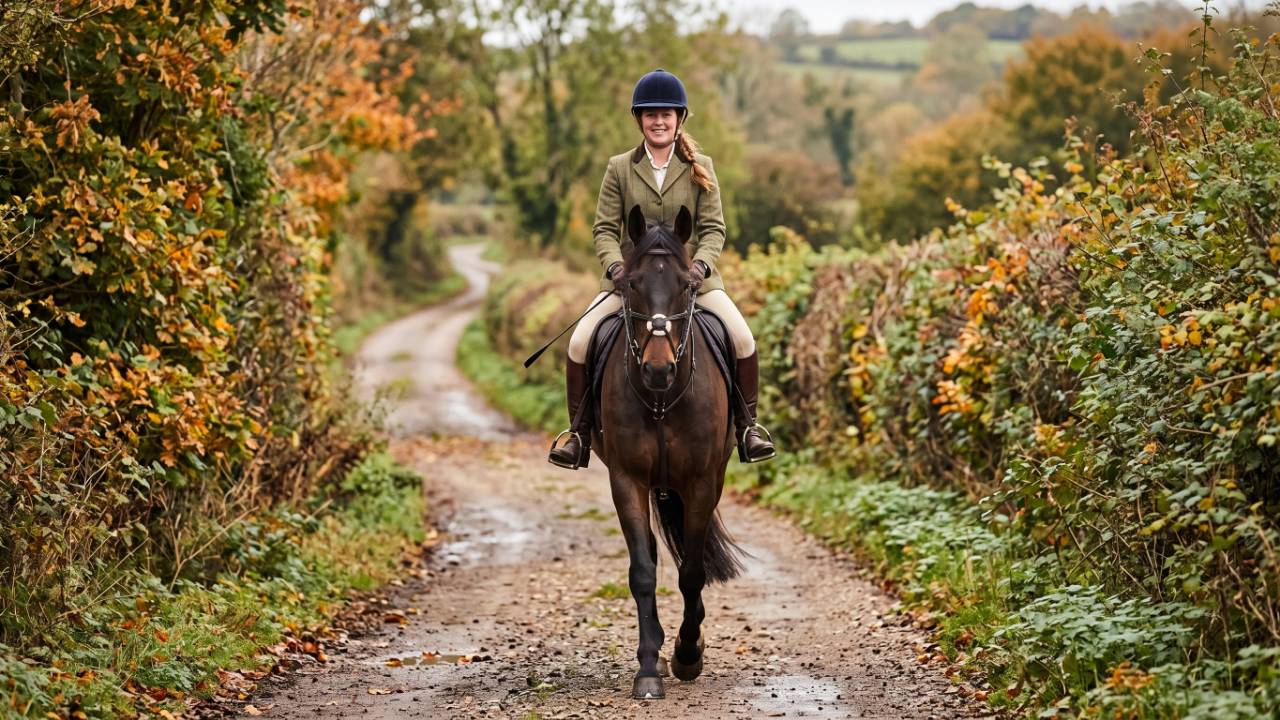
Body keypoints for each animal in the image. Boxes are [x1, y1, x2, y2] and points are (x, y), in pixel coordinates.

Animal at [593, 204, 747, 700]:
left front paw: (688, 654)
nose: (658, 369)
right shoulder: (626, 479)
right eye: (631, 283)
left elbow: (693, 571)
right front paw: (648, 667)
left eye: (686, 284)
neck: (662, 398)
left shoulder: (700, 482)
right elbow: (644, 571)